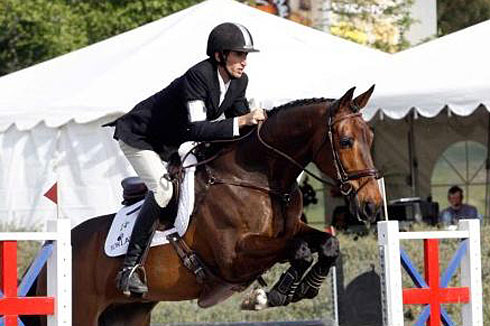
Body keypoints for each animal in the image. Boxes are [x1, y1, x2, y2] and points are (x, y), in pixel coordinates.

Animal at [38, 85, 382, 324]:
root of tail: (51, 248)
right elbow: (298, 249)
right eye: (346, 141)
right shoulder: (234, 257)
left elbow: (326, 244)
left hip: (128, 314)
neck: (258, 177)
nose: (372, 206)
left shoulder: (291, 229)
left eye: (371, 137)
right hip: (83, 312)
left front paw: (301, 288)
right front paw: (271, 295)